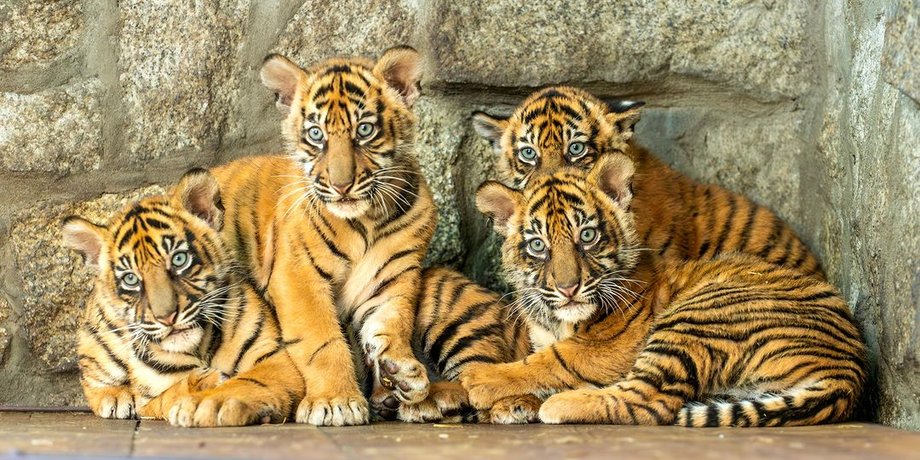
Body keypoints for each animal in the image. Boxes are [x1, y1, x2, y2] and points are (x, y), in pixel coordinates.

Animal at [63, 169, 304, 427]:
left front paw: (211, 402)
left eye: (179, 259)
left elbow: (248, 381)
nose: (167, 317)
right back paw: (116, 398)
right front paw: (204, 383)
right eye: (131, 279)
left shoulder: (277, 358)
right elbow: (170, 393)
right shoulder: (147, 400)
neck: (199, 350)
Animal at [206, 46, 437, 425]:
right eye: (316, 135)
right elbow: (321, 340)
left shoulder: (393, 276)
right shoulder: (297, 276)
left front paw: (404, 371)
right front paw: (336, 402)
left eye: (365, 130)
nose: (342, 185)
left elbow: (394, 321)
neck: (367, 220)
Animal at [462, 153, 867, 426]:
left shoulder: (606, 346)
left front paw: (482, 381)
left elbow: (551, 360)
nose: (568, 288)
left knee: (648, 402)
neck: (555, 317)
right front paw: (511, 405)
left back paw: (559, 404)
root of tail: (850, 372)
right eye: (537, 245)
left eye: (587, 236)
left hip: (701, 314)